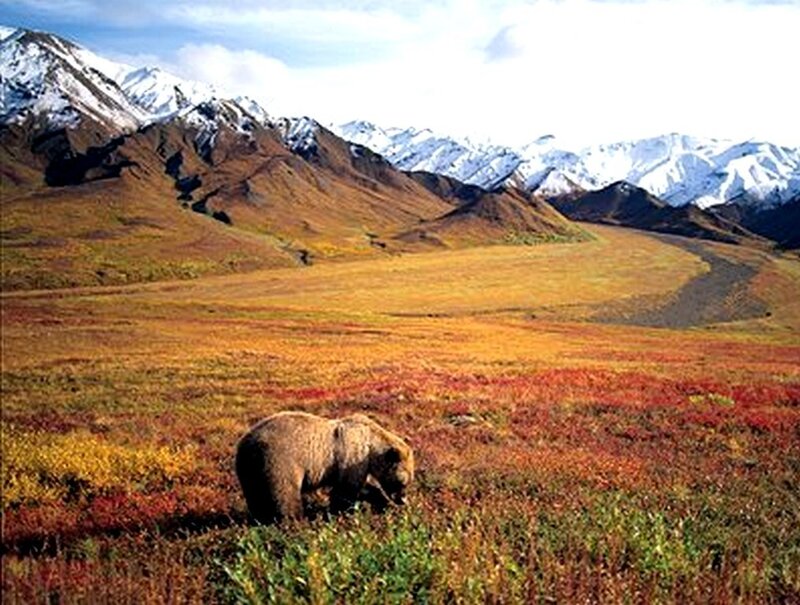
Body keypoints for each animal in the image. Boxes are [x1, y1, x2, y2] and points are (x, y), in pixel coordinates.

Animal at [235, 411, 415, 523]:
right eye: (402, 482)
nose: (402, 500)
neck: (371, 446)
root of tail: (244, 443)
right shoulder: (352, 455)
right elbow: (346, 490)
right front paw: (340, 513)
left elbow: (363, 487)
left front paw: (383, 503)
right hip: (279, 460)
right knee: (284, 492)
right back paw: (294, 519)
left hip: (251, 468)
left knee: (256, 494)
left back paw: (260, 518)